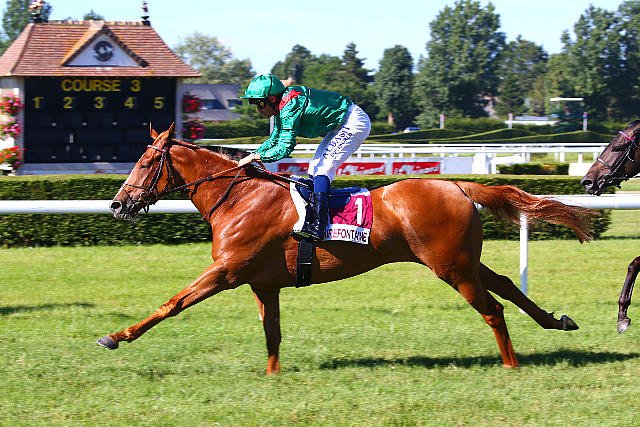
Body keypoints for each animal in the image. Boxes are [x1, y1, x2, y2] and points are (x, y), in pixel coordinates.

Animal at [98, 123, 596, 374]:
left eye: (145, 162)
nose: (118, 204)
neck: (238, 198)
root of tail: (456, 183)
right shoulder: (263, 284)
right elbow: (272, 333)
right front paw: (273, 376)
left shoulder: (226, 272)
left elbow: (172, 303)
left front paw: (116, 336)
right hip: (462, 260)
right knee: (508, 285)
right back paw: (557, 322)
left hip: (451, 267)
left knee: (492, 309)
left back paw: (511, 365)